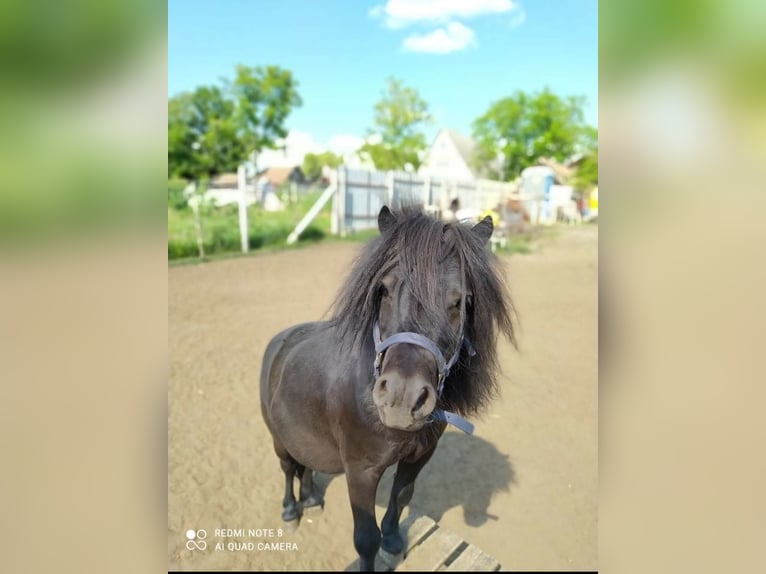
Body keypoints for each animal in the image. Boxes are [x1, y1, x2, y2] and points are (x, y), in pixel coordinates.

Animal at [258, 206, 516, 572]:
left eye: (460, 302)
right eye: (384, 290)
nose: (402, 398)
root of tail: (280, 340)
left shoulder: (419, 456)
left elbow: (402, 496)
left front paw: (394, 542)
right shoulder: (361, 470)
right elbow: (366, 538)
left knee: (305, 465)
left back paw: (311, 497)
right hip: (278, 438)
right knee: (287, 468)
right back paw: (291, 510)